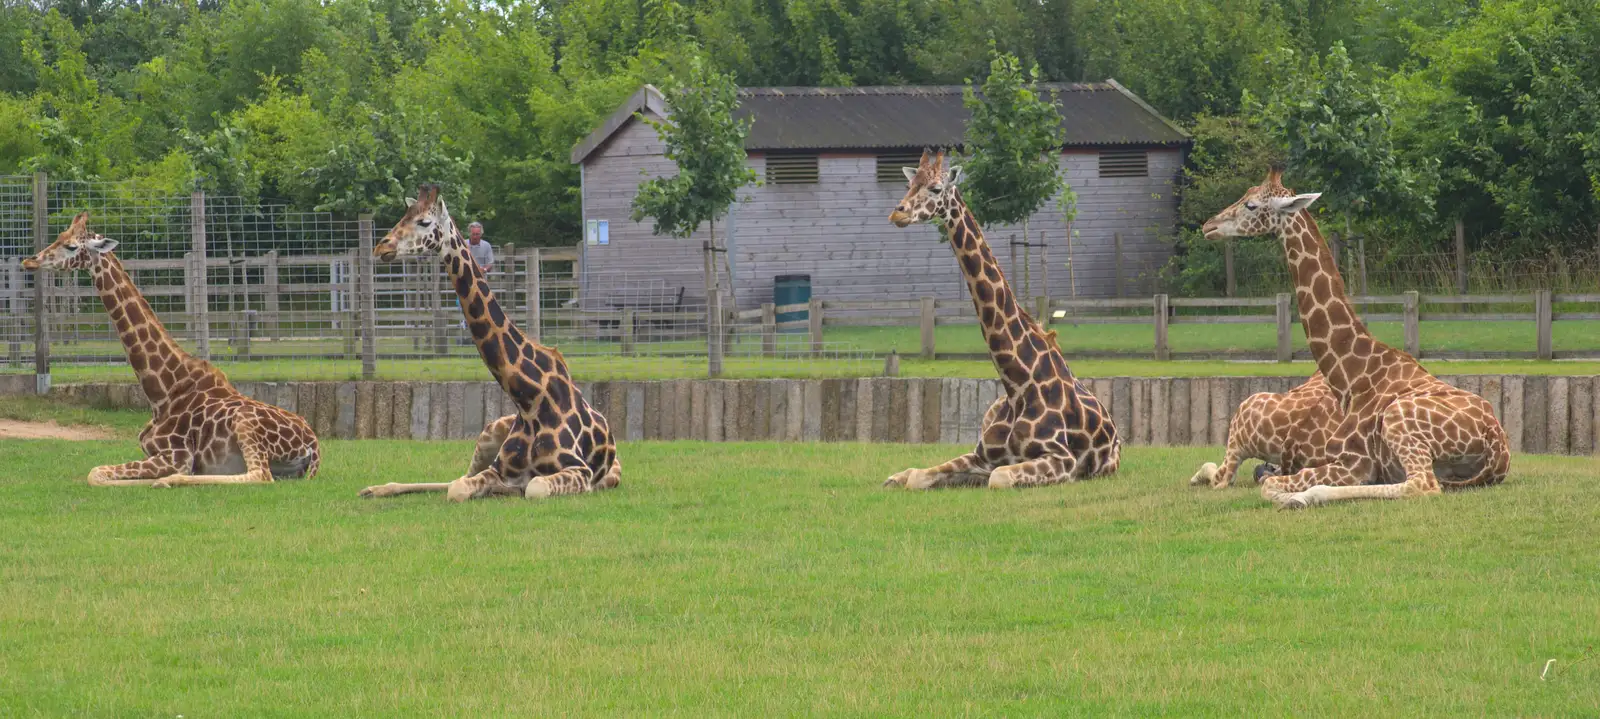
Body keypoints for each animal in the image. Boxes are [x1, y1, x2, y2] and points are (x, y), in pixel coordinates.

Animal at [22, 209, 318, 483]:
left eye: (72, 246)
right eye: (59, 236)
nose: (30, 260)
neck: (163, 392)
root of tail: (314, 446)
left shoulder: (176, 456)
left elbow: (95, 472)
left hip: (245, 424)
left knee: (258, 475)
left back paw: (169, 481)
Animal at [360, 183, 620, 499]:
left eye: (424, 221)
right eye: (403, 215)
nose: (381, 247)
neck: (528, 400)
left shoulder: (580, 471)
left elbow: (534, 487)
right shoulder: (499, 469)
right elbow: (458, 488)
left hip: (610, 475)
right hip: (489, 432)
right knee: (455, 478)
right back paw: (374, 489)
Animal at [876, 150, 1126, 486]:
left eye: (936, 189)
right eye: (909, 184)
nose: (898, 214)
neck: (1017, 386)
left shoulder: (1062, 459)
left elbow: (998, 478)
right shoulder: (982, 455)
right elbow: (916, 475)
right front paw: (905, 477)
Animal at [1203, 168, 1510, 506]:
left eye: (1251, 205)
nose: (1209, 226)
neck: (1350, 375)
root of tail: (1498, 447)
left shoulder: (1354, 461)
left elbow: (1267, 483)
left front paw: (1294, 496)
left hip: (1398, 420)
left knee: (1422, 484)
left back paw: (1303, 496)